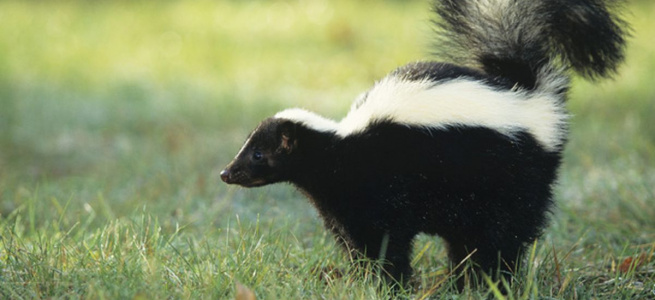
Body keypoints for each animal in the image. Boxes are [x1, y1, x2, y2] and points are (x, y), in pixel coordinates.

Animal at [219, 0, 624, 286]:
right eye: (247, 147)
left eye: (258, 154)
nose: (226, 173)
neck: (341, 148)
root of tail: (523, 92)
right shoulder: (343, 206)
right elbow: (356, 243)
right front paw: (364, 280)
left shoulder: (380, 191)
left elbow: (385, 243)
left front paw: (388, 283)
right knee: (468, 240)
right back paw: (462, 280)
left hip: (512, 178)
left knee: (503, 236)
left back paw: (490, 282)